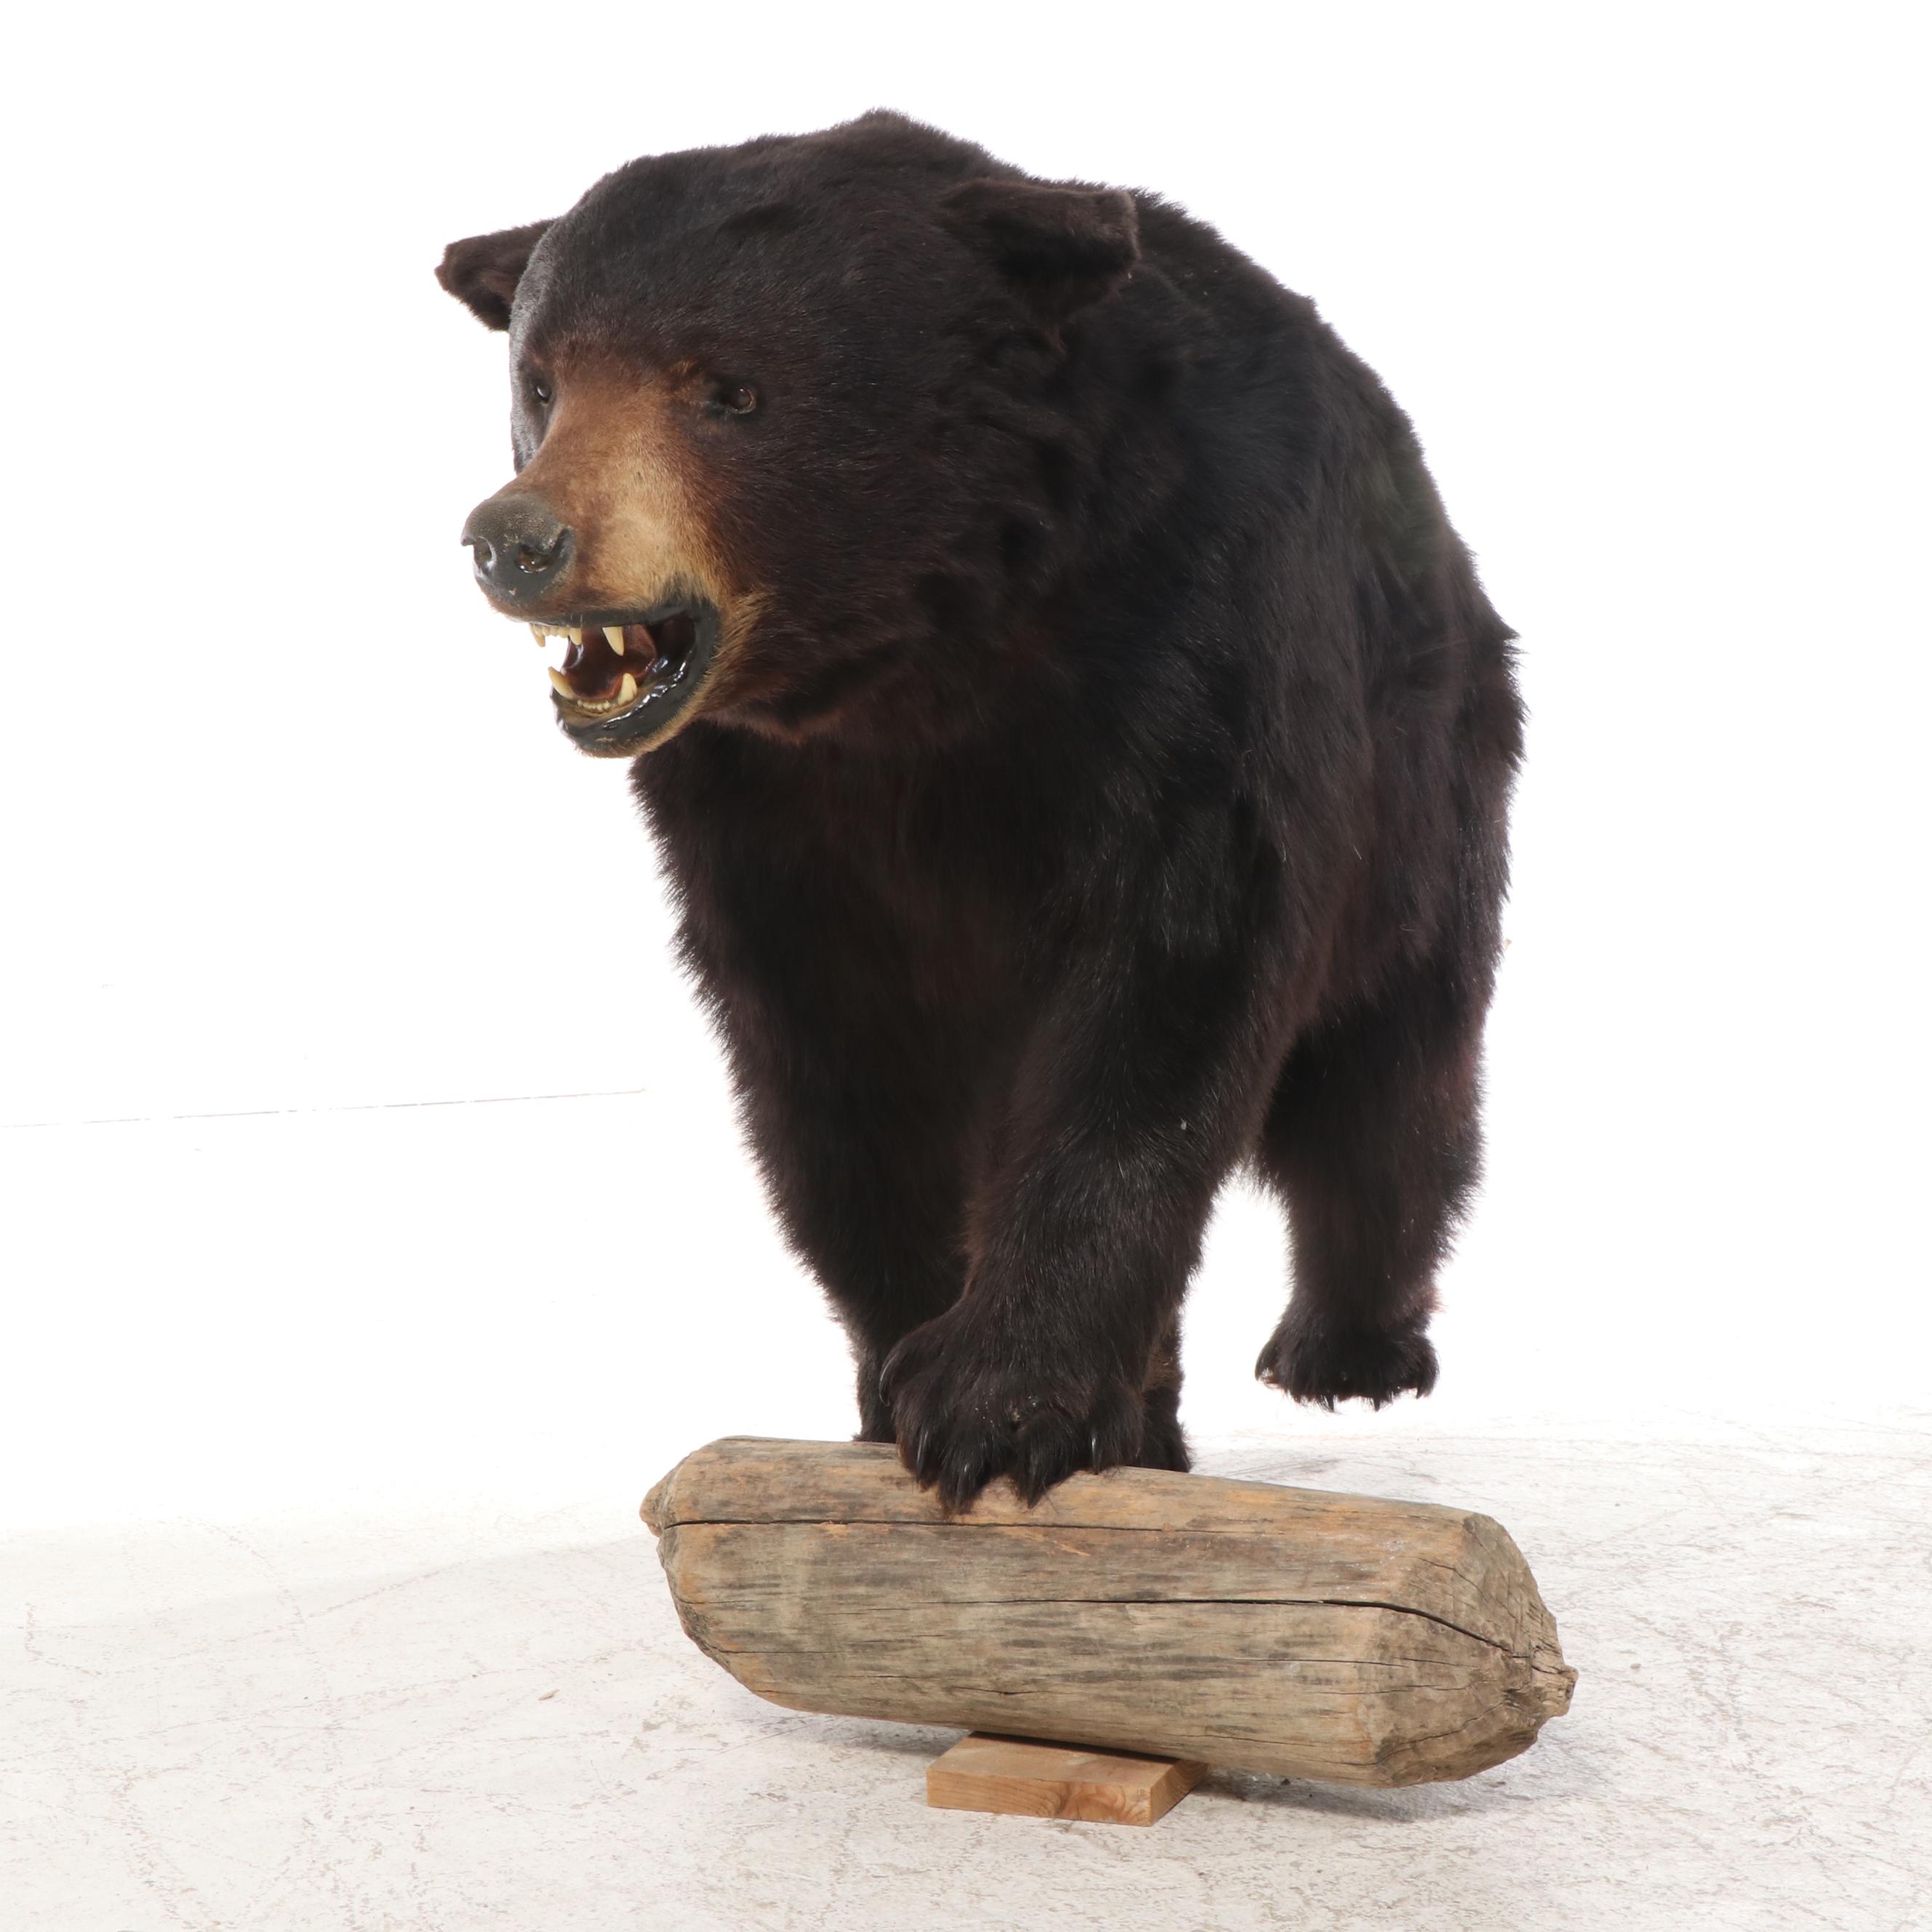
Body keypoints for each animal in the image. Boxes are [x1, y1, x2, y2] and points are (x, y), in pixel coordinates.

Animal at [438, 110, 1524, 1513]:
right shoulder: (765, 811)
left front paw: (1002, 1403)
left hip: (1425, 793)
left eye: (729, 389)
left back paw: (1347, 1345)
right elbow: (836, 1087)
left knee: (1387, 1086)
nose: (519, 540)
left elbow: (1166, 993)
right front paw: (903, 1378)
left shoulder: (1193, 645)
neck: (928, 652)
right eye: (542, 382)